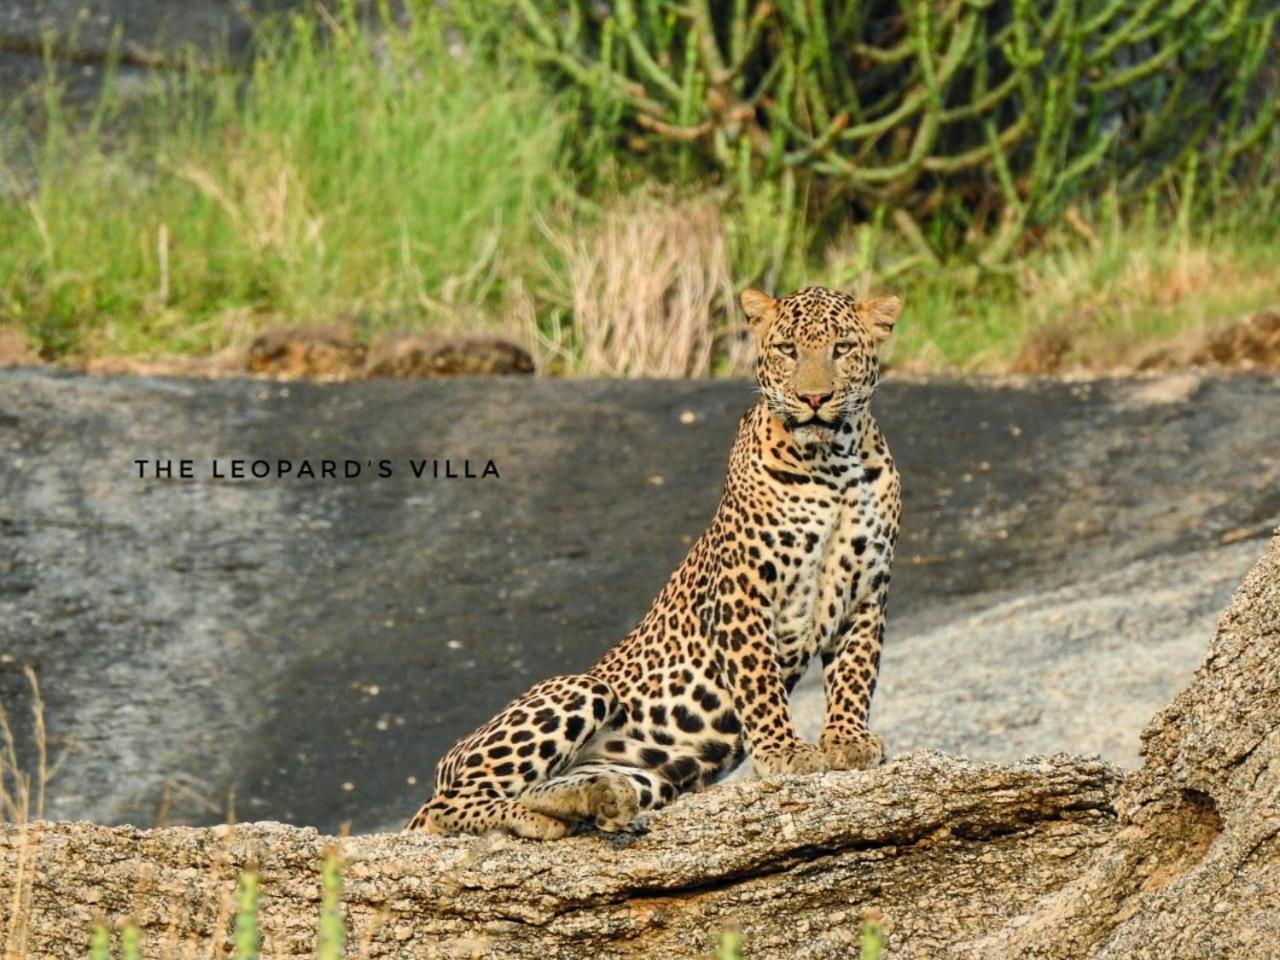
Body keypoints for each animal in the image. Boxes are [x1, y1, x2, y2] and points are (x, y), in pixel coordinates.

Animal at [407, 281, 901, 839]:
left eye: (842, 348)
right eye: (787, 350)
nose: (813, 399)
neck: (832, 464)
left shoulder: (867, 589)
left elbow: (856, 671)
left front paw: (847, 740)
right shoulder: (743, 591)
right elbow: (760, 682)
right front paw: (784, 752)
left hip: (651, 773)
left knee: (538, 790)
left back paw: (598, 799)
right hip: (579, 691)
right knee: (451, 805)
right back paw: (539, 819)